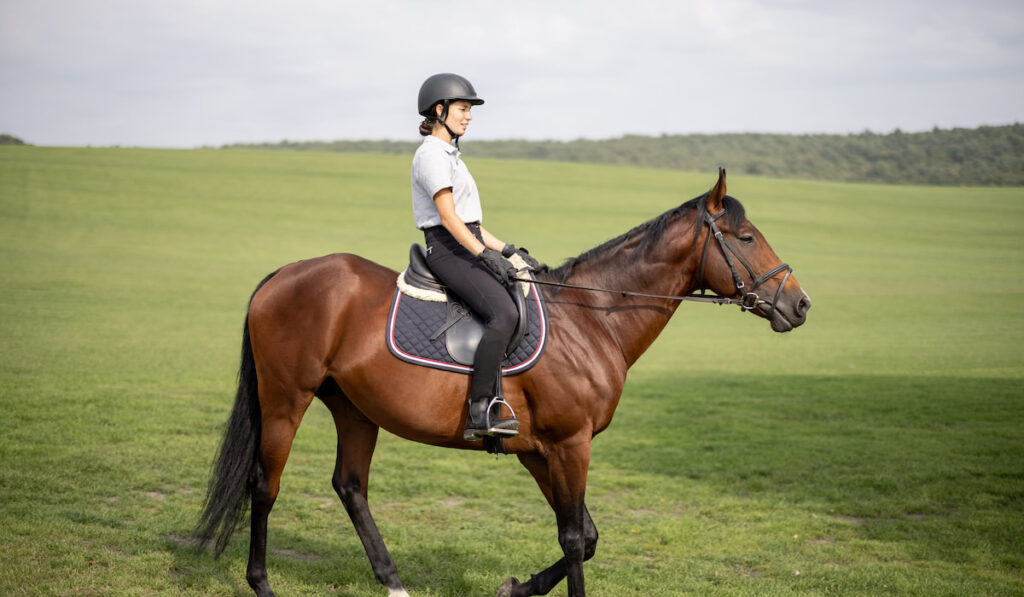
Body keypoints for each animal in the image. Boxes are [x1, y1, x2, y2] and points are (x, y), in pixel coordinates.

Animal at [197, 168, 806, 597]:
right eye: (746, 238)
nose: (799, 304)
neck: (592, 317)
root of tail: (284, 273)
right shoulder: (569, 444)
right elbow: (573, 538)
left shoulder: (539, 449)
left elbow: (586, 538)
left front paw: (516, 586)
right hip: (285, 399)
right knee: (264, 484)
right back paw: (262, 584)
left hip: (354, 408)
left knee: (350, 486)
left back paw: (393, 581)